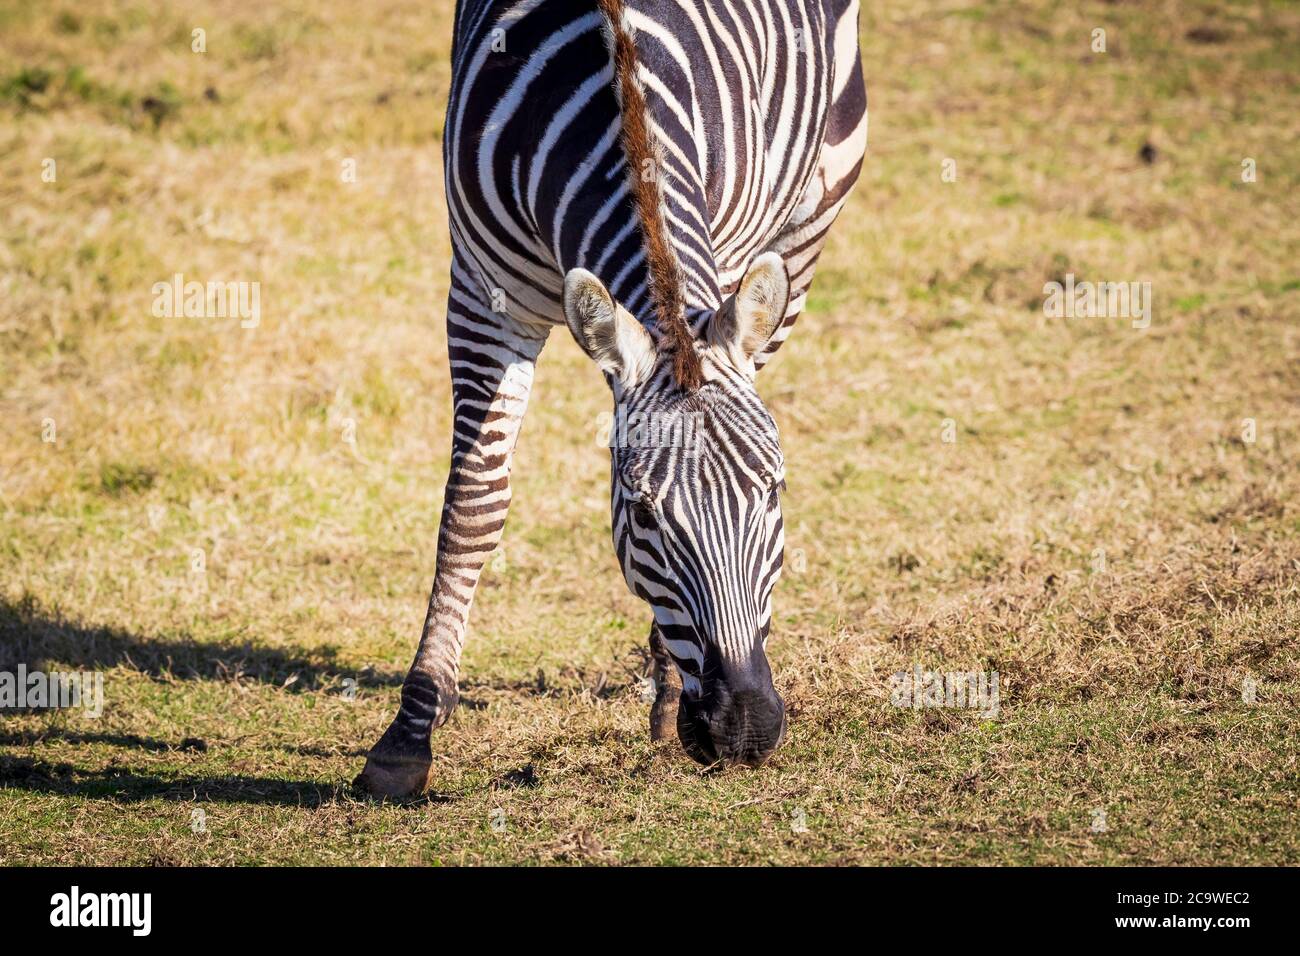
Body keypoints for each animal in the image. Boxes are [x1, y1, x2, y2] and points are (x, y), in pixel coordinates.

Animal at [356, 0, 867, 797]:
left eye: (774, 494)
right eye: (645, 515)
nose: (744, 731)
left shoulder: (726, 256)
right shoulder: (484, 293)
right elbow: (473, 505)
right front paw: (406, 740)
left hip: (811, 213)